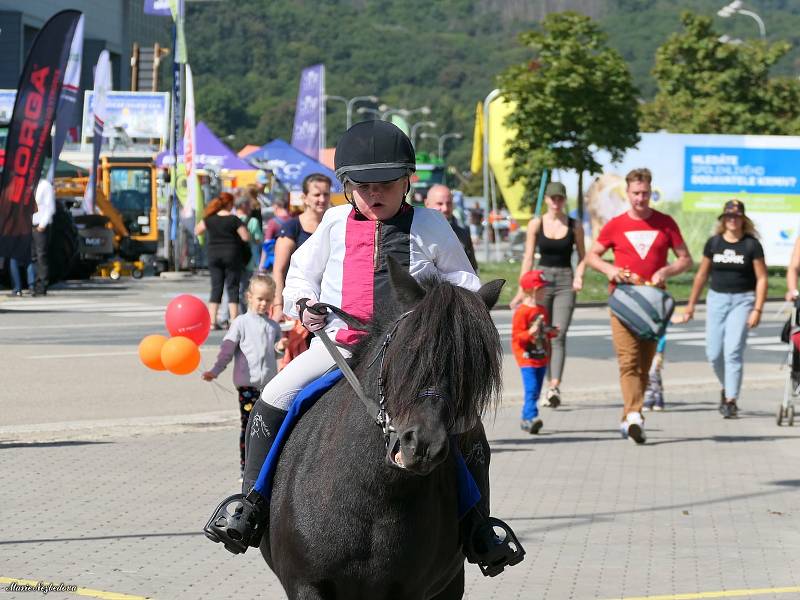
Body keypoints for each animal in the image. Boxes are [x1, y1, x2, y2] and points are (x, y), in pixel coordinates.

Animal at [262, 262, 504, 600]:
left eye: (471, 367)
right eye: (409, 350)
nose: (423, 445)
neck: (371, 496)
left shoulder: (410, 590)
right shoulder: (306, 585)